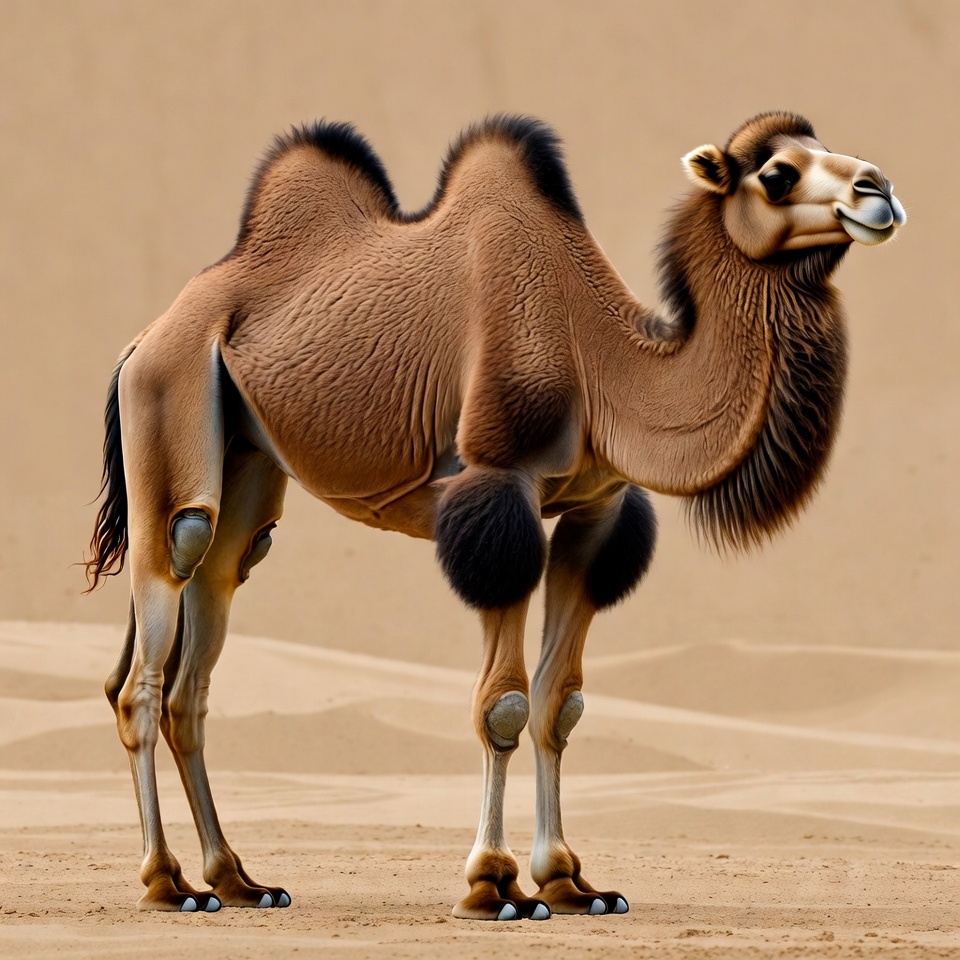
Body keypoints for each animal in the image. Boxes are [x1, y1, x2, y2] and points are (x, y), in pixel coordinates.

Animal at [85, 111, 904, 919]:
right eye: (777, 173)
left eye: (827, 144)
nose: (880, 191)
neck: (601, 361)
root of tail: (141, 340)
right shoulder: (499, 489)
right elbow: (504, 705)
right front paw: (495, 884)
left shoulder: (596, 512)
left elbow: (559, 705)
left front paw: (572, 883)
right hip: (170, 406)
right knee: (151, 646)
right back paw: (169, 884)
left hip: (250, 466)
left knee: (203, 642)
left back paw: (239, 881)